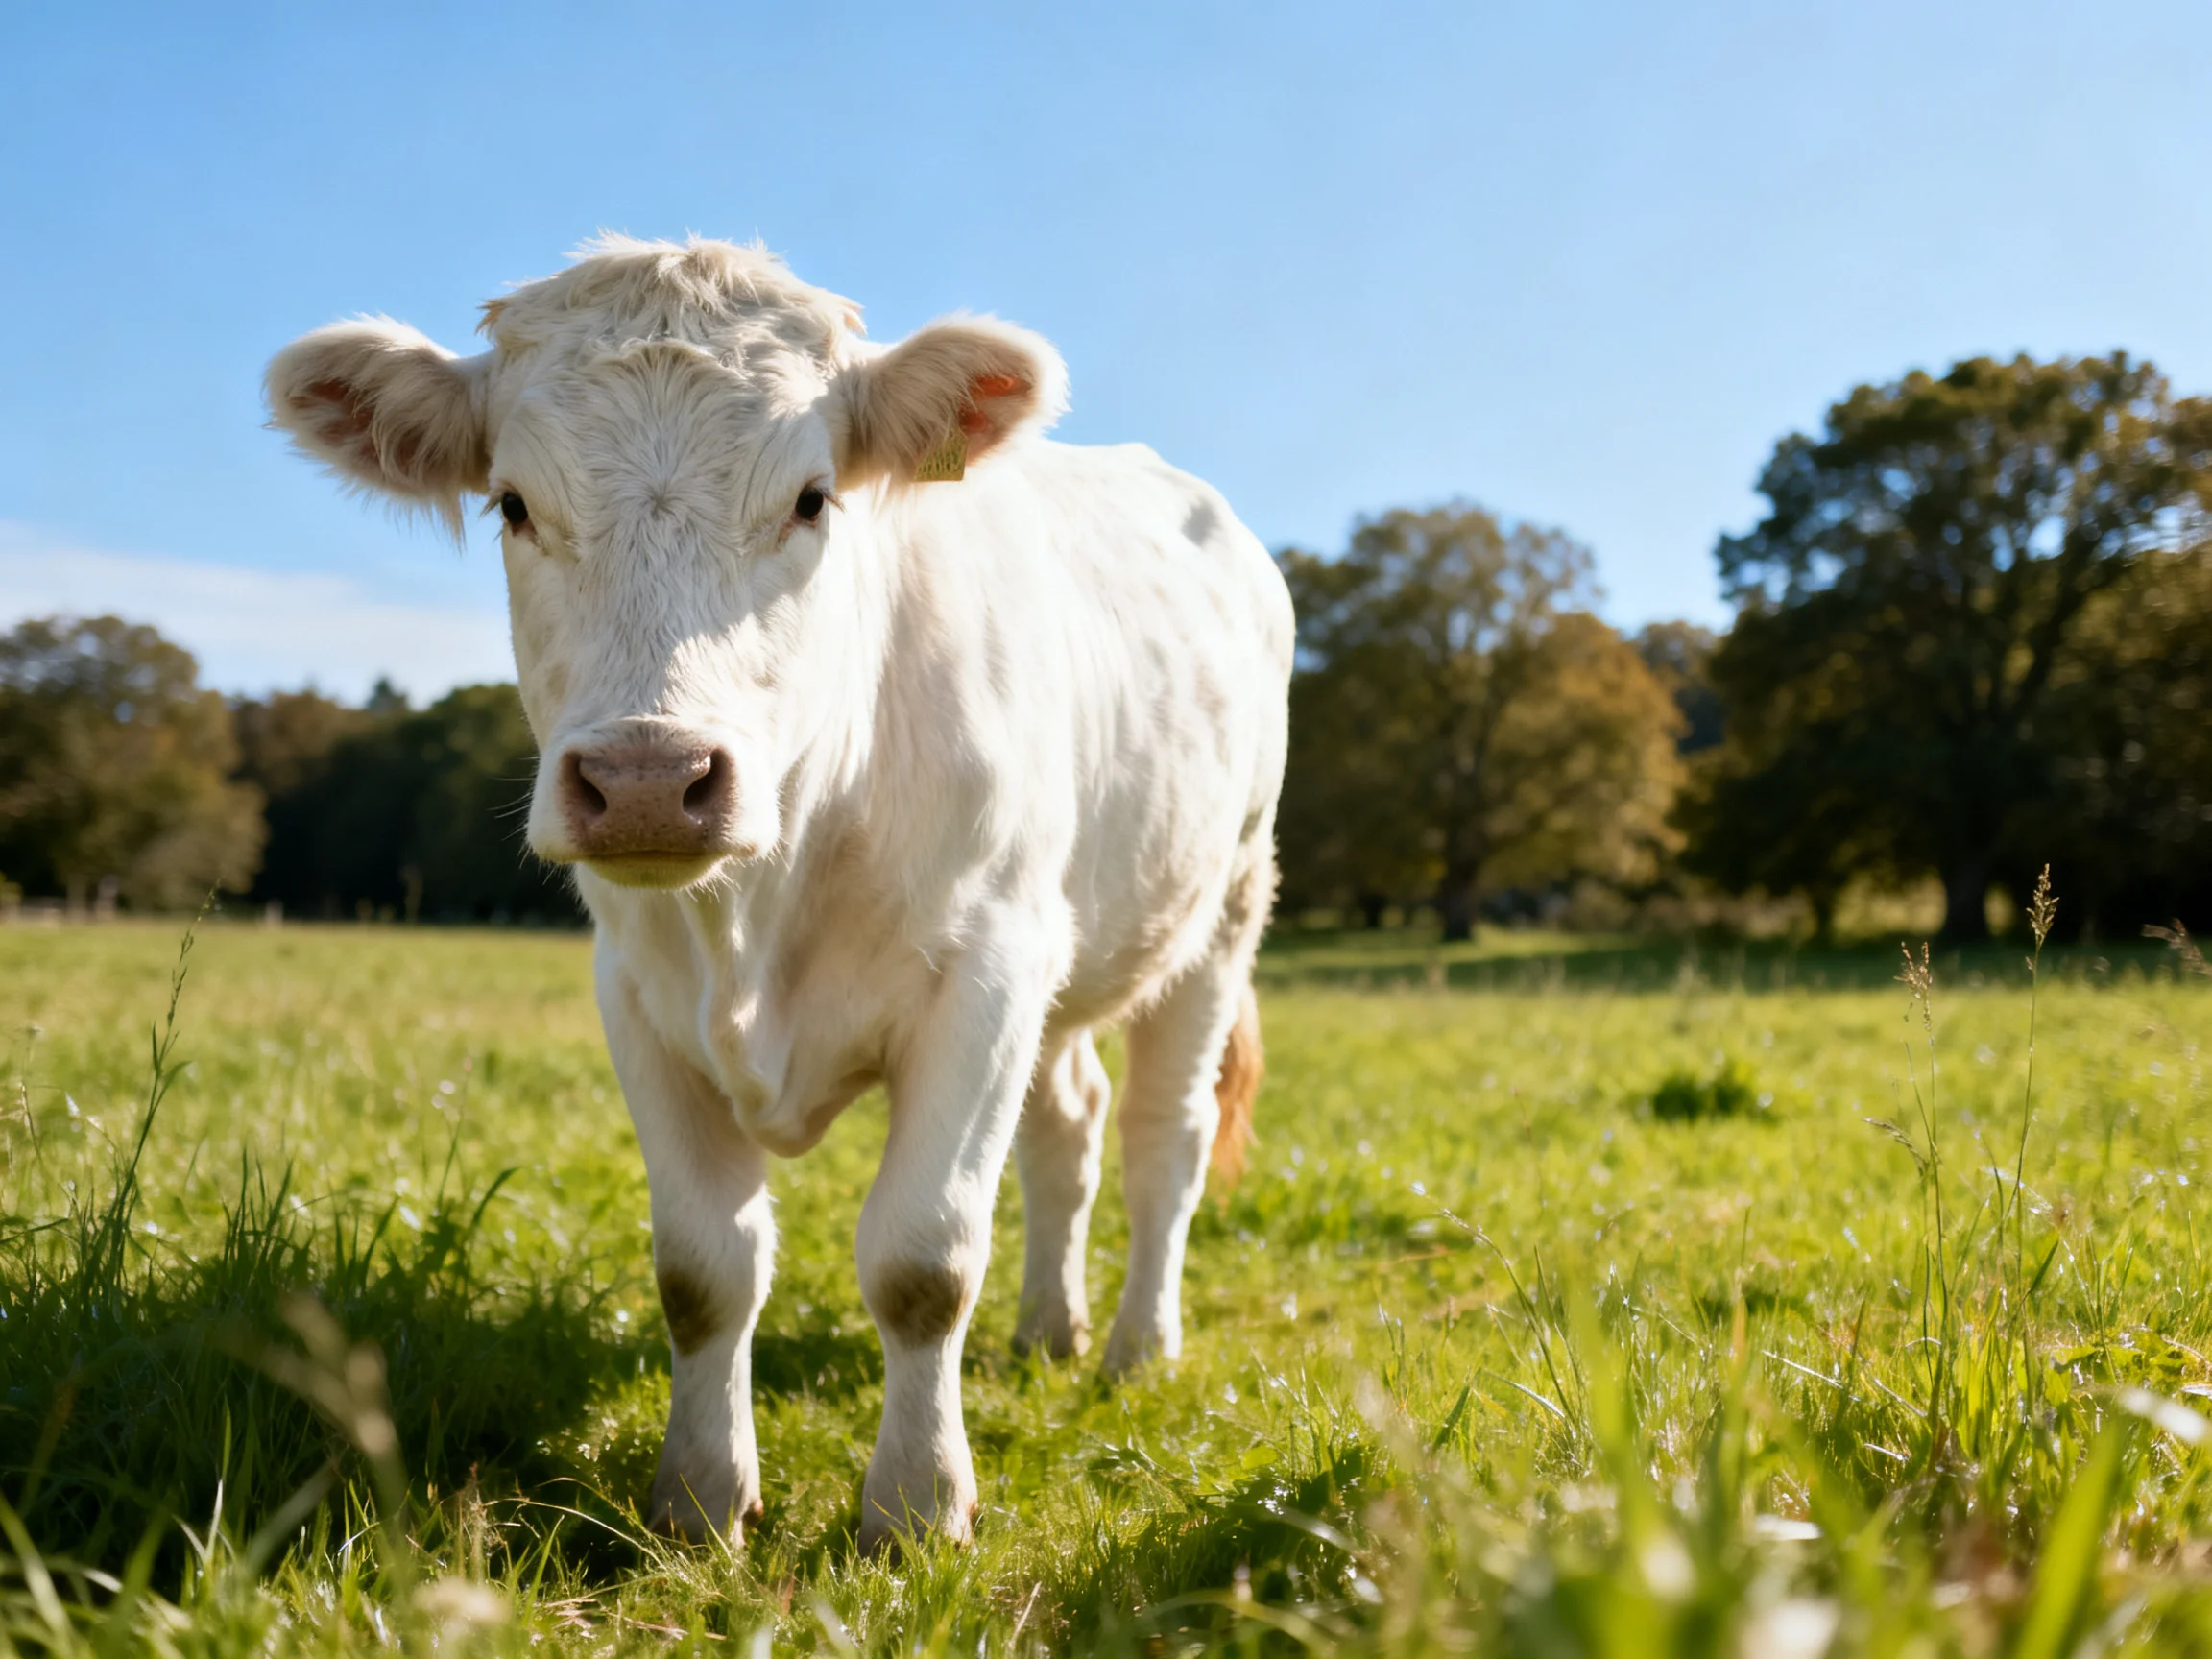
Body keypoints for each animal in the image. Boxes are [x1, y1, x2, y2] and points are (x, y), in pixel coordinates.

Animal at [265, 236, 1293, 1551]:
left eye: (812, 499)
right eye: (513, 504)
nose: (648, 779)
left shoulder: (986, 972)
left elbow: (922, 1258)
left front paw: (917, 1506)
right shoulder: (641, 996)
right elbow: (704, 1270)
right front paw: (700, 1500)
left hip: (1220, 909)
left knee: (1168, 1133)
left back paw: (1134, 1348)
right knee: (1069, 1123)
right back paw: (1045, 1332)